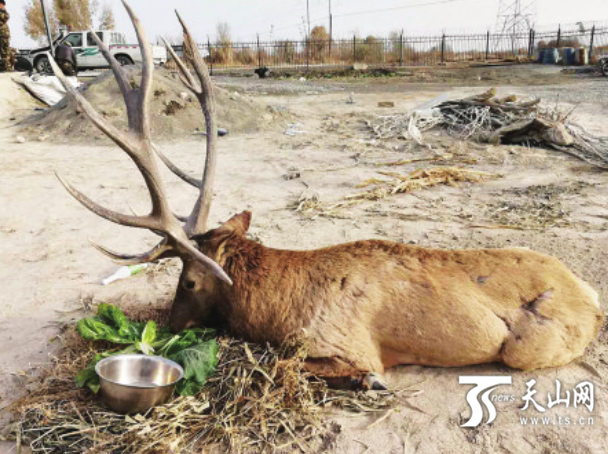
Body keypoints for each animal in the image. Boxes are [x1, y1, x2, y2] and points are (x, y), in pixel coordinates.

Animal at [52, 0, 604, 390]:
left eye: (188, 282)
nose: (169, 325)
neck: (277, 307)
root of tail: (592, 297)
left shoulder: (344, 342)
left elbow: (292, 365)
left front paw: (369, 383)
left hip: (527, 346)